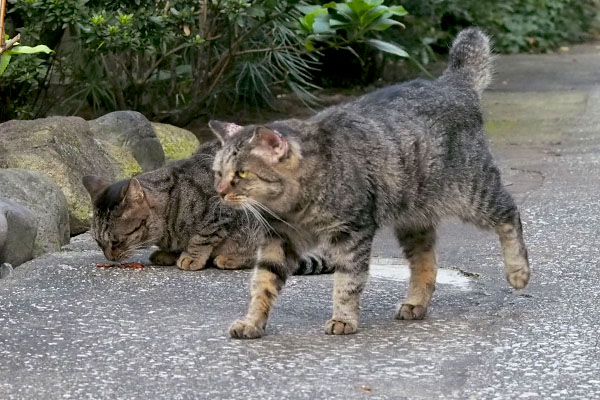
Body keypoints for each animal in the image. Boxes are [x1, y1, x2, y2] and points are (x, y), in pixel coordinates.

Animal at [81, 141, 332, 276]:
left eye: (116, 241)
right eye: (98, 242)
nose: (110, 257)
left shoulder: (221, 211)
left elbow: (202, 237)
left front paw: (191, 257)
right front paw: (169, 253)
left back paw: (230, 258)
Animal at [210, 28, 528, 340]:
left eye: (242, 174)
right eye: (218, 173)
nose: (220, 192)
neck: (293, 206)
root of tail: (451, 84)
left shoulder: (352, 233)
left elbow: (348, 282)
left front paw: (343, 318)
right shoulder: (278, 239)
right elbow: (263, 283)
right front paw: (252, 322)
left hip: (474, 193)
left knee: (509, 214)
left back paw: (518, 271)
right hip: (413, 220)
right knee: (425, 262)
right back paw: (415, 303)